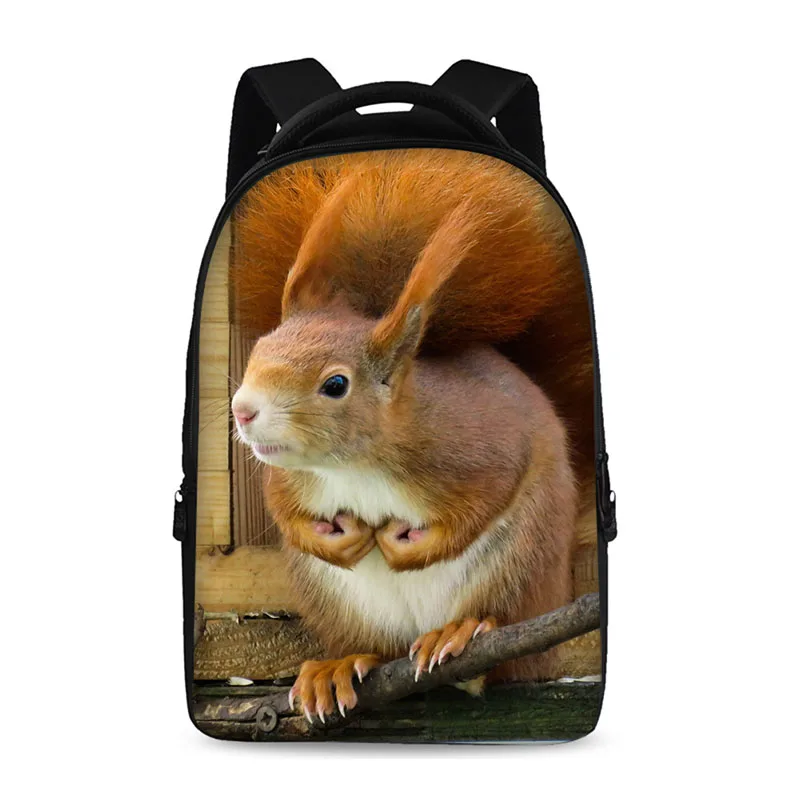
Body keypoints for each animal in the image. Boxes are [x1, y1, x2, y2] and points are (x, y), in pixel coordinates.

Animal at [229, 150, 594, 722]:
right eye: (259, 348)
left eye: (336, 385)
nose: (243, 411)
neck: (351, 466)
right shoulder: (289, 477)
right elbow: (284, 512)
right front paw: (338, 539)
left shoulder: (478, 449)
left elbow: (484, 501)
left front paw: (405, 547)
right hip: (341, 607)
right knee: (375, 649)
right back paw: (338, 667)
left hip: (520, 571)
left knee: (503, 645)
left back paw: (460, 632)